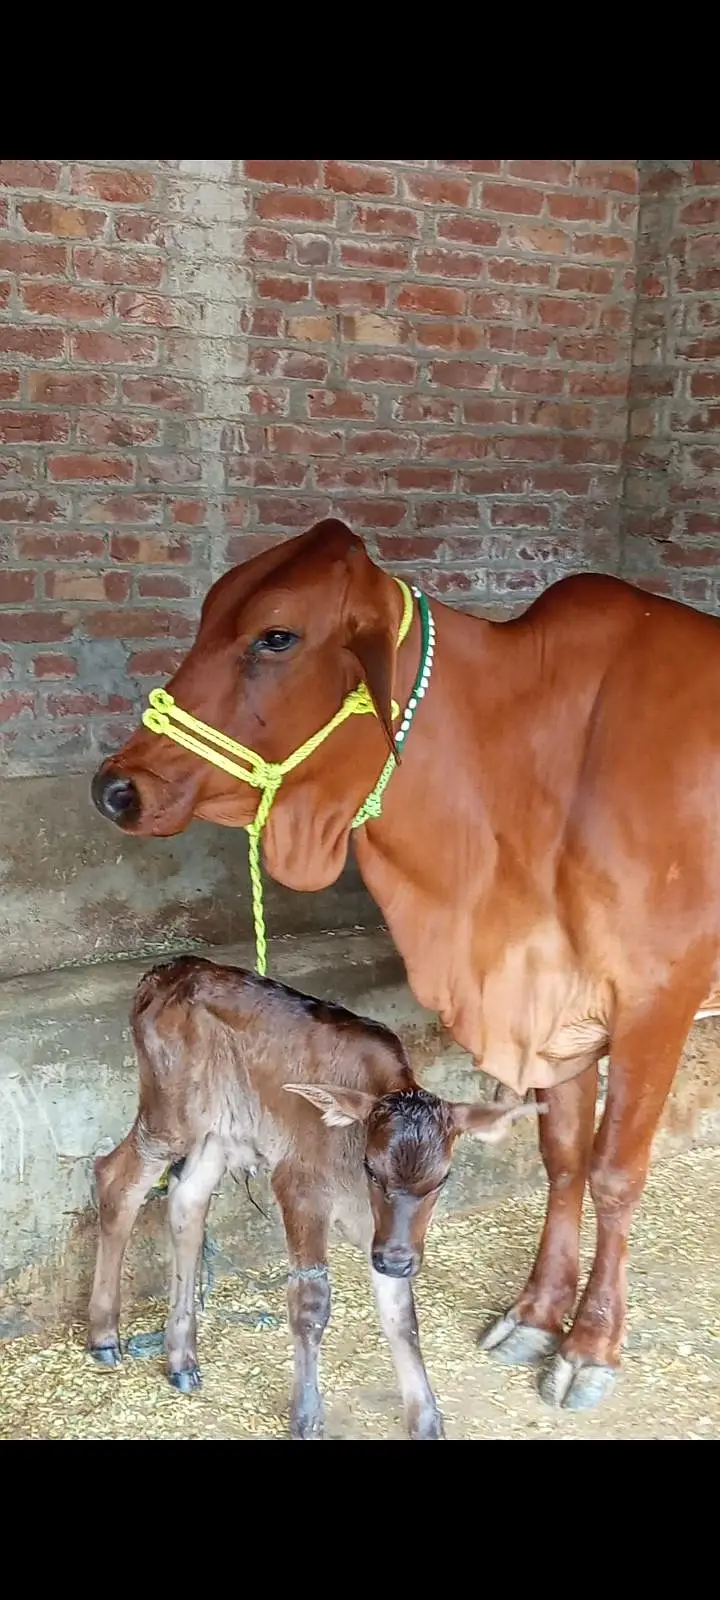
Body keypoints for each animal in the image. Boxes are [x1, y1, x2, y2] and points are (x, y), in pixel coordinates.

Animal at [92, 517, 720, 1411]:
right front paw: (535, 1315)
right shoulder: (556, 1008)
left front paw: (591, 1345)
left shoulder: (655, 1002)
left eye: (277, 636)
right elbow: (562, 1159)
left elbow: (613, 1173)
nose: (116, 788)